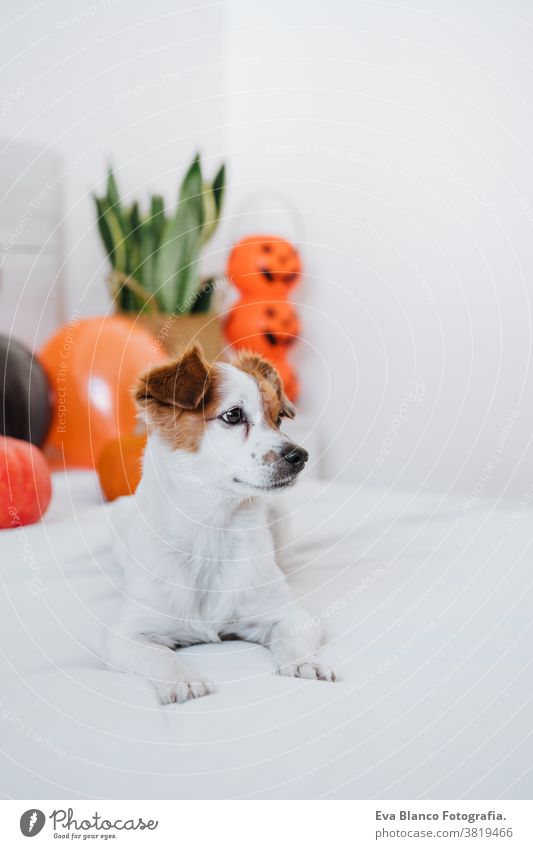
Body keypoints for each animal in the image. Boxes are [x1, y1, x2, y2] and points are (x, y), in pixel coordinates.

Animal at [106, 344, 334, 704]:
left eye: (279, 419)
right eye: (233, 416)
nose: (300, 456)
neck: (213, 531)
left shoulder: (288, 614)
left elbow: (291, 638)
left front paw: (304, 663)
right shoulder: (126, 634)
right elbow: (159, 656)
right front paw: (183, 680)